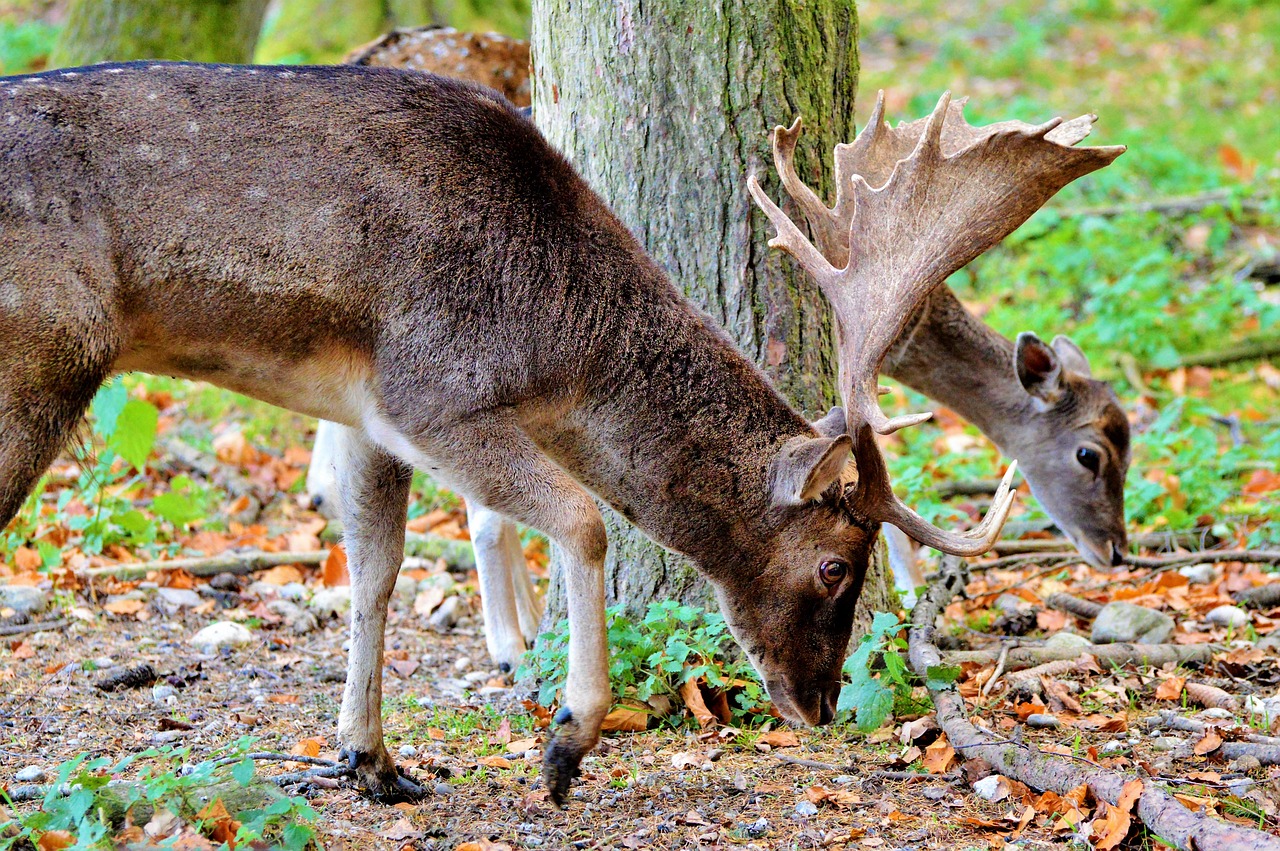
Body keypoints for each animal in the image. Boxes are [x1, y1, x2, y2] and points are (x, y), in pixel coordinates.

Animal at [0, 58, 1116, 798]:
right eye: (839, 562)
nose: (822, 699)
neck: (559, 345)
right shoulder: (435, 389)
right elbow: (581, 519)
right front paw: (567, 737)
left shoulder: (365, 412)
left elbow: (374, 570)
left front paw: (370, 756)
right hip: (42, 360)